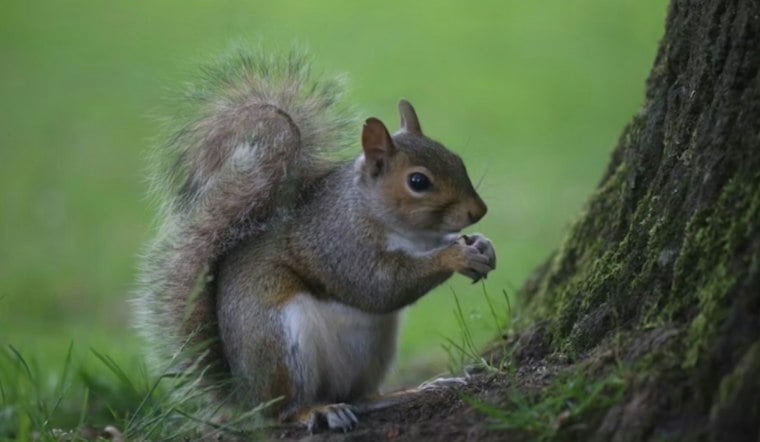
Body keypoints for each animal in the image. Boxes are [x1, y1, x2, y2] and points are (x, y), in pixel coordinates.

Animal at [135, 51, 496, 432]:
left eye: (457, 159)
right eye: (418, 181)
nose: (479, 211)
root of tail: (245, 393)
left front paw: (481, 245)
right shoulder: (340, 244)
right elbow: (380, 287)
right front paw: (455, 256)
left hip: (374, 351)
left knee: (360, 397)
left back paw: (411, 391)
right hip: (280, 345)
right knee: (283, 411)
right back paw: (317, 411)